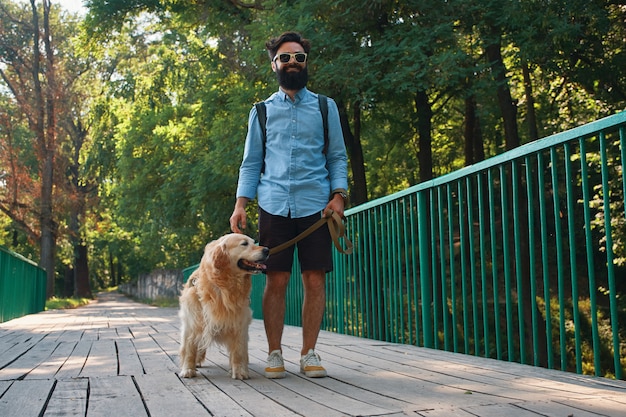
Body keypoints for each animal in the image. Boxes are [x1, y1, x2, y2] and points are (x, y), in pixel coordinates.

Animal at [179, 232, 270, 378]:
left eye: (253, 242)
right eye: (244, 243)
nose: (267, 250)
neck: (223, 287)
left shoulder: (239, 322)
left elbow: (238, 350)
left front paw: (239, 371)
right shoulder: (192, 322)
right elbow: (189, 349)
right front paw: (187, 369)